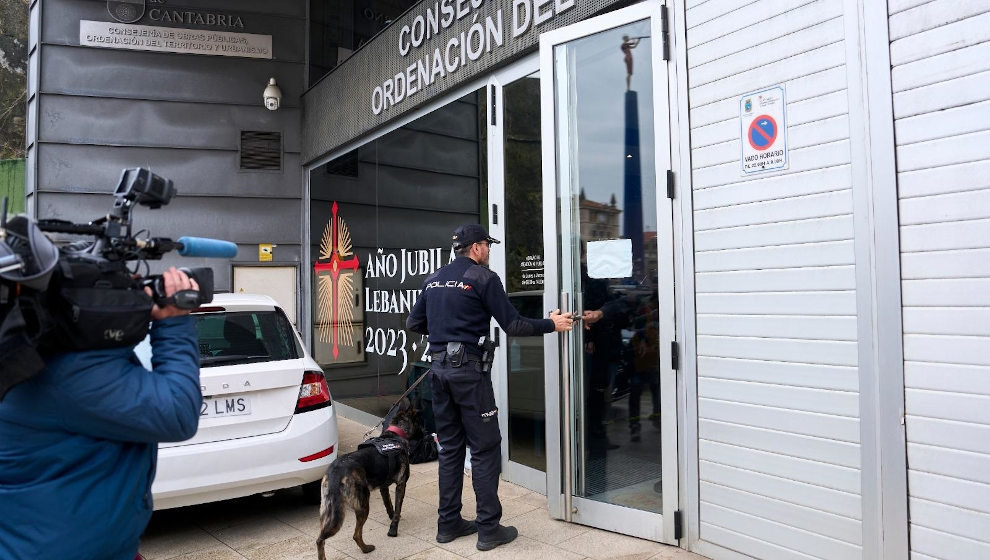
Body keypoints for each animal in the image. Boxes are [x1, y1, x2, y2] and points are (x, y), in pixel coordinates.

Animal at [320, 398, 424, 556]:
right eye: (419, 422)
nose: (425, 433)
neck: (395, 434)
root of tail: (335, 472)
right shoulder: (401, 484)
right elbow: (397, 508)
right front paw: (393, 530)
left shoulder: (384, 487)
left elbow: (389, 506)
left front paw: (392, 518)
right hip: (363, 504)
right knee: (356, 534)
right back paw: (366, 549)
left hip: (327, 511)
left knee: (320, 538)